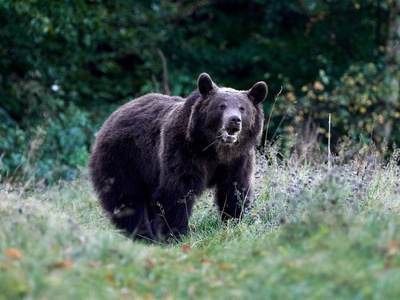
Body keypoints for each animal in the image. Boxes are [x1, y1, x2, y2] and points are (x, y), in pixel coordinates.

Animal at [89, 72, 268, 241]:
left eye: (242, 108)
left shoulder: (237, 160)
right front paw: (175, 233)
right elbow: (176, 193)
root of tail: (113, 115)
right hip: (124, 159)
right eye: (221, 106)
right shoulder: (182, 152)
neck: (214, 148)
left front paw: (234, 221)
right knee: (127, 200)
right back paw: (142, 235)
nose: (234, 120)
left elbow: (235, 191)